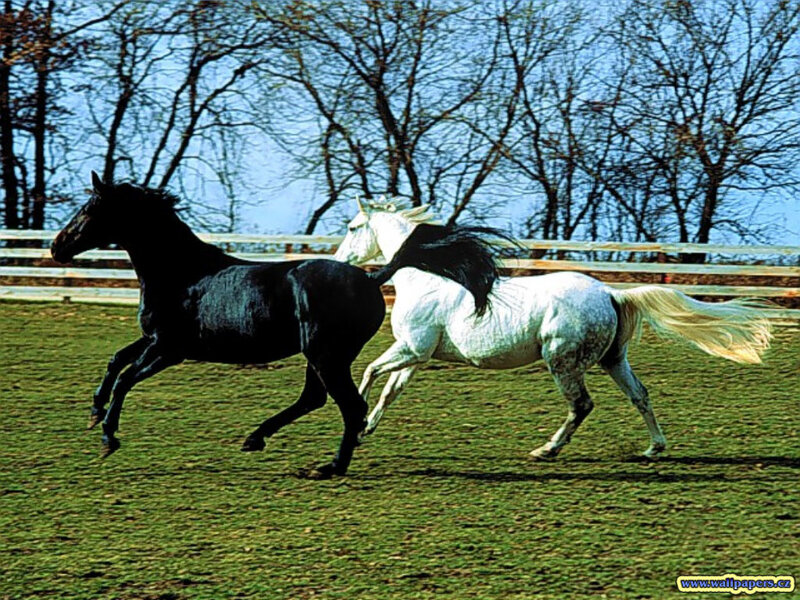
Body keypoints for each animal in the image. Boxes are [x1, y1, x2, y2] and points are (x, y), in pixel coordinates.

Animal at [50, 172, 501, 478]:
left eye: (89, 210)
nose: (57, 247)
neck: (183, 274)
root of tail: (373, 279)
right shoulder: (153, 339)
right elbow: (115, 361)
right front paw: (93, 414)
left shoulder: (169, 349)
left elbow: (126, 378)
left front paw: (108, 438)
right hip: (320, 356)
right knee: (316, 400)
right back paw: (257, 438)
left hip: (325, 355)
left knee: (349, 407)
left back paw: (328, 467)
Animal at [334, 197, 773, 460]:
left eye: (354, 227)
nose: (339, 261)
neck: (426, 277)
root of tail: (611, 293)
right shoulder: (417, 355)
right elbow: (390, 391)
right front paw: (366, 428)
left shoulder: (411, 348)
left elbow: (369, 371)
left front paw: (357, 424)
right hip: (614, 361)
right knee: (640, 395)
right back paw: (654, 448)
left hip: (561, 360)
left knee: (582, 405)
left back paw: (546, 449)